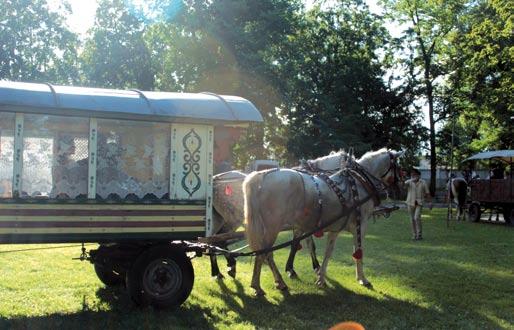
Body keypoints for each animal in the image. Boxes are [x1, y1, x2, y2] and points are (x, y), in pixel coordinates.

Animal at [242, 148, 402, 296]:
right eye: (398, 166)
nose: (397, 189)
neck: (358, 183)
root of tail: (262, 176)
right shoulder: (360, 225)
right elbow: (357, 250)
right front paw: (362, 278)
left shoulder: (333, 228)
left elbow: (327, 252)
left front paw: (320, 277)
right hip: (272, 227)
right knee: (266, 253)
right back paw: (269, 283)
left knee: (262, 253)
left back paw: (262, 283)